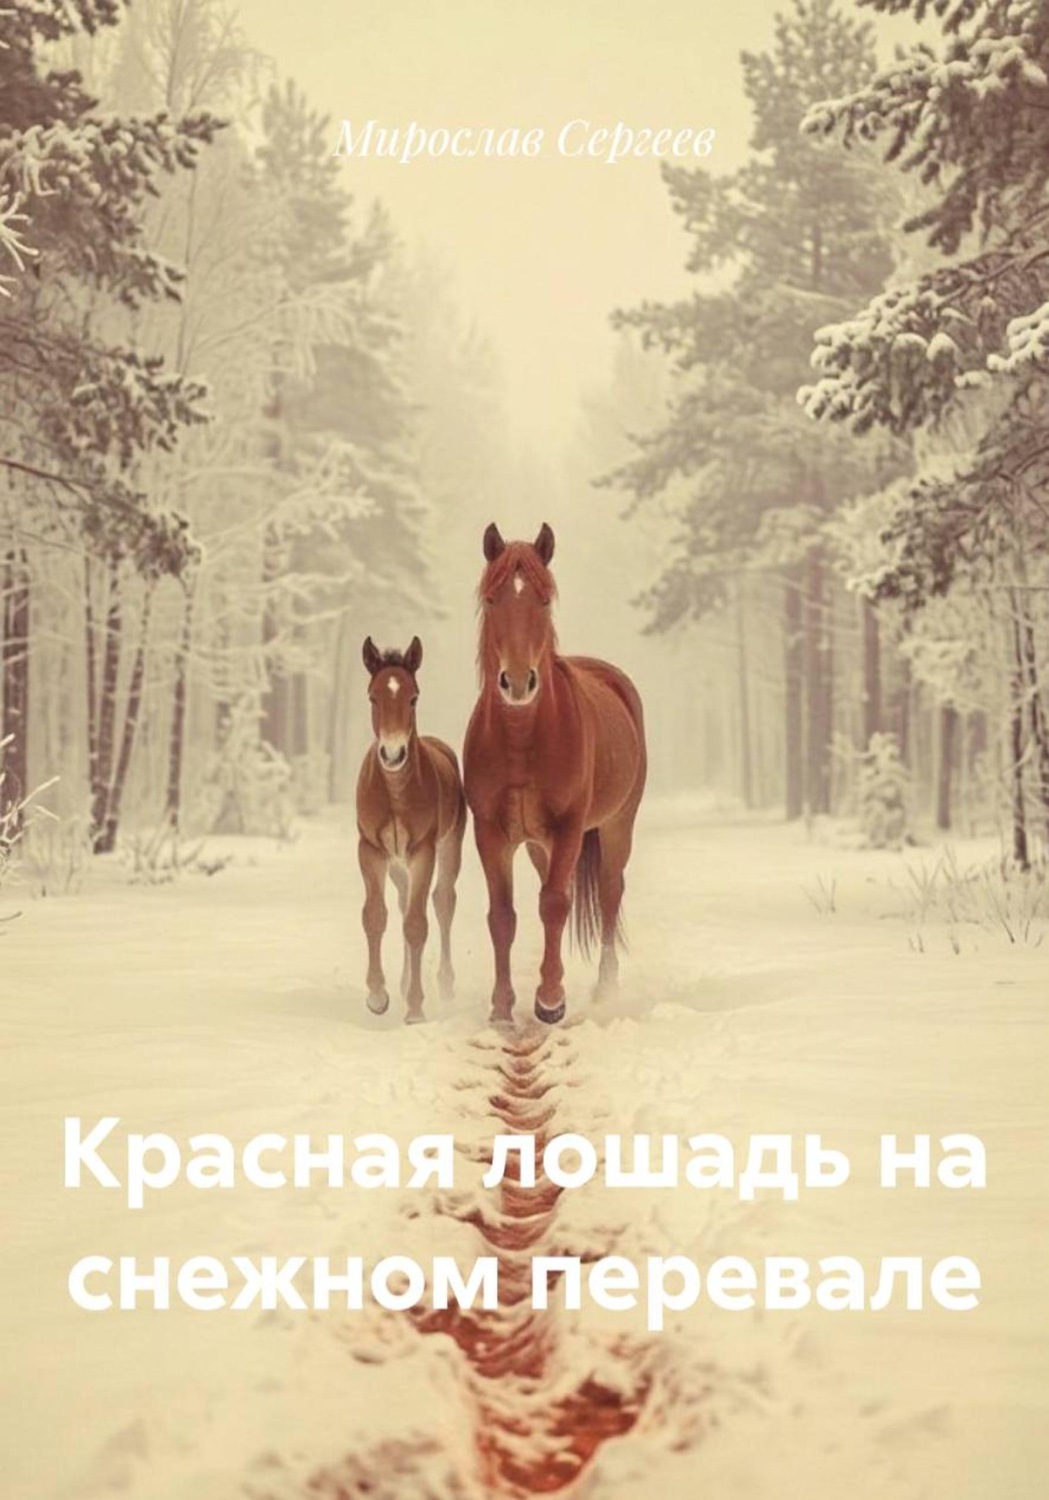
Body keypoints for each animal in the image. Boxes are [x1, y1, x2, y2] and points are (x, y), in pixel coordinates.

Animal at [355, 635, 466, 1023]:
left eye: (413, 697)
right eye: (372, 697)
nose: (393, 754)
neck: (395, 793)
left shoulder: (423, 851)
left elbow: (418, 924)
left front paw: (415, 1008)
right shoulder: (370, 850)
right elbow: (375, 916)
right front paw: (377, 996)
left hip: (449, 848)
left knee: (443, 901)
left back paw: (445, 984)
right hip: (396, 864)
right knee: (403, 904)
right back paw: (402, 983)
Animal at [463, 523, 647, 1025]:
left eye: (543, 600)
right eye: (492, 599)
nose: (518, 682)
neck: (522, 739)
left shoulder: (568, 828)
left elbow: (554, 903)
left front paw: (549, 1000)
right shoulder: (491, 832)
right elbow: (502, 915)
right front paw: (502, 1005)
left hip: (617, 826)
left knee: (608, 892)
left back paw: (605, 987)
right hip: (537, 844)